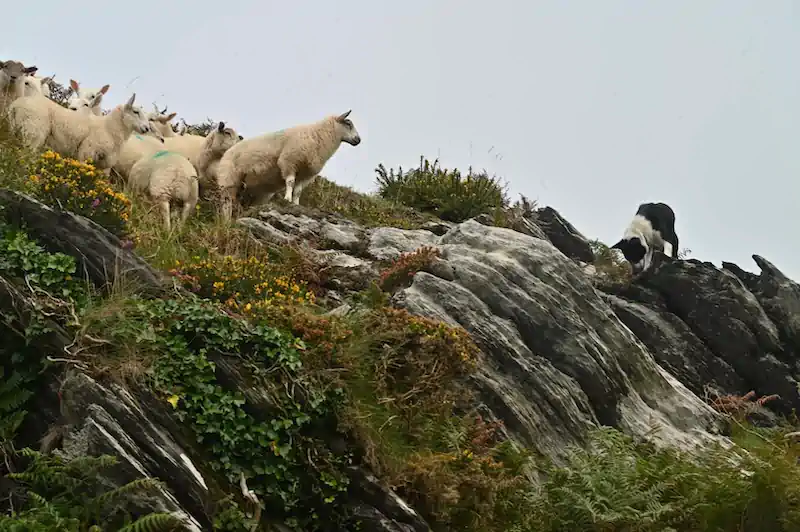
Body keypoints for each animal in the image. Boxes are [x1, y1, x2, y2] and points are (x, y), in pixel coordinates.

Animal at [9, 92, 152, 173]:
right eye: (135, 111)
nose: (146, 128)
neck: (109, 128)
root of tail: (15, 105)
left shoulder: (105, 165)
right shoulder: (87, 152)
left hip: (18, 129)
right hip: (33, 131)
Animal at [215, 110, 361, 220]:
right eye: (348, 123)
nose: (358, 140)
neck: (318, 135)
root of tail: (227, 152)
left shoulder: (305, 174)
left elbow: (298, 191)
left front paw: (296, 204)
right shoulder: (289, 162)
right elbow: (290, 182)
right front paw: (287, 198)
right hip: (228, 180)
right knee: (226, 203)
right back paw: (225, 220)